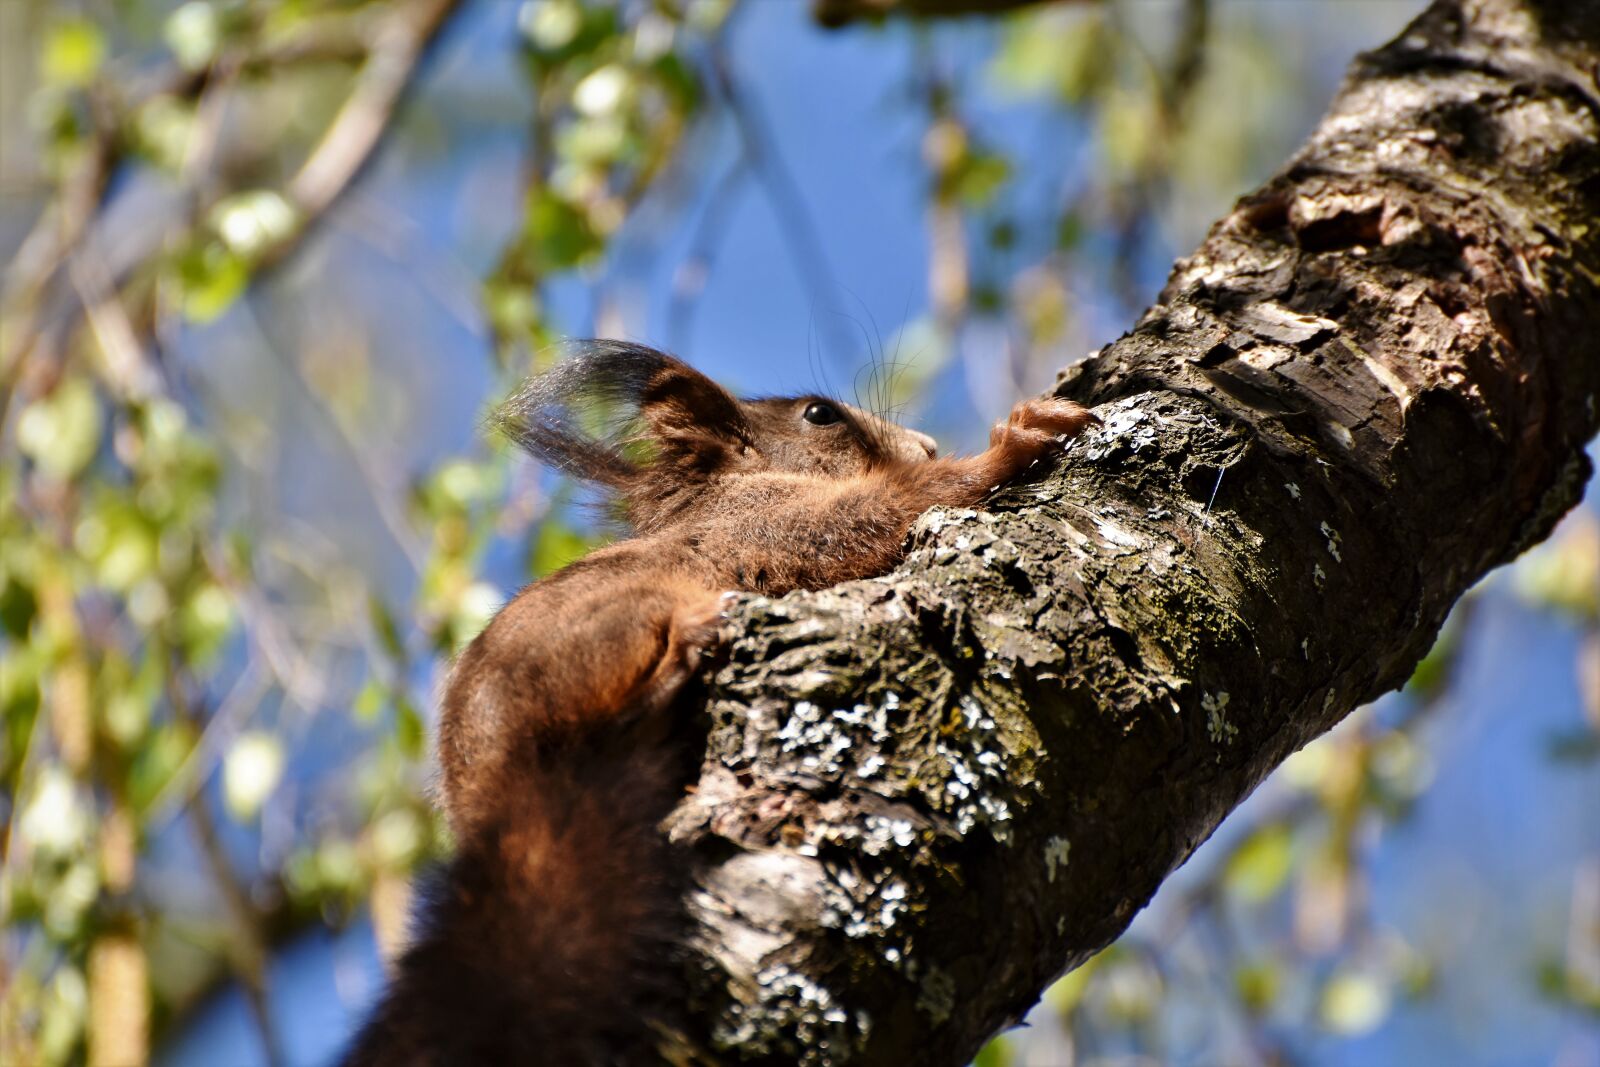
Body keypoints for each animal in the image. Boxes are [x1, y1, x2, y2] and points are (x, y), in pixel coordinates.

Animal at [341, 340, 1097, 1066]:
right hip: (612, 627)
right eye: (819, 415)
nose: (929, 444)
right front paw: (1015, 438)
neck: (729, 488)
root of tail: (502, 787)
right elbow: (869, 516)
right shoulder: (770, 521)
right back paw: (683, 658)